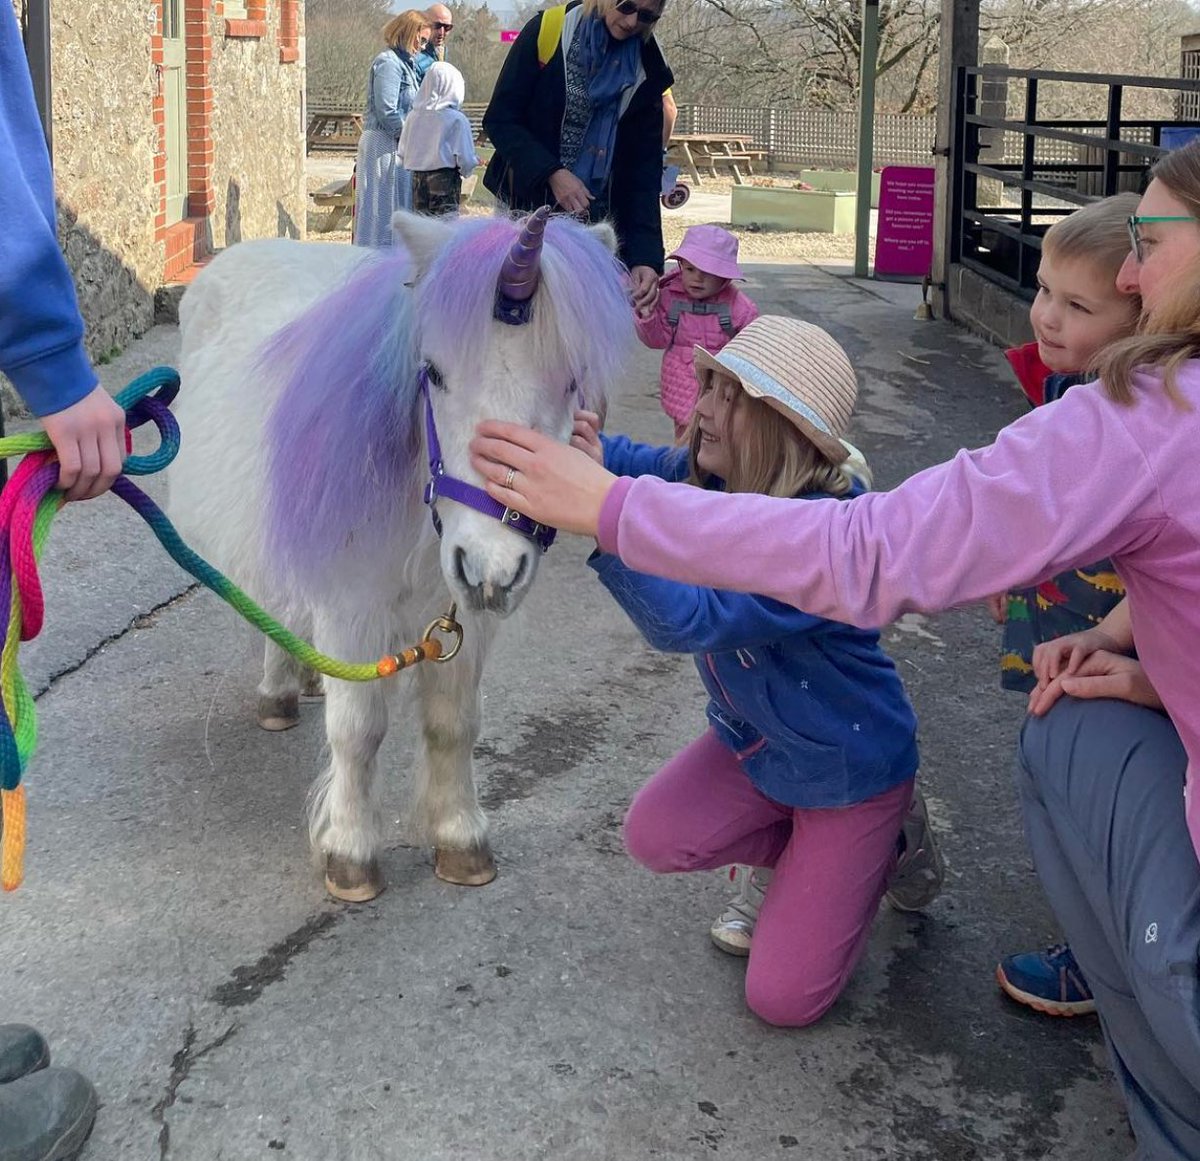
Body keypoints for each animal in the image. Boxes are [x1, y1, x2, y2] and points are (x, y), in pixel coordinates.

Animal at [167, 208, 635, 901]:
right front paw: (350, 852)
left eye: (572, 380)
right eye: (433, 373)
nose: (491, 568)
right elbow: (358, 731)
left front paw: (460, 838)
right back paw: (280, 692)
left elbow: (454, 723)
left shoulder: (465, 619)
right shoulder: (352, 608)